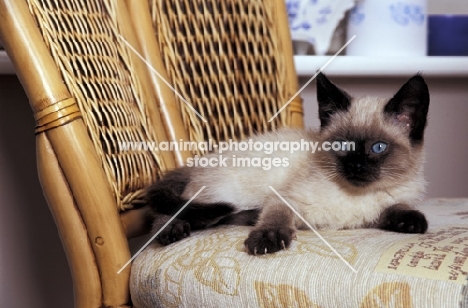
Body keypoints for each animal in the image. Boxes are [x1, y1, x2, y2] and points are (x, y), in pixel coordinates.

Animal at [144, 73, 430, 255]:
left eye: (378, 147)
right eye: (340, 146)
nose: (355, 167)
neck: (355, 195)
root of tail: (199, 162)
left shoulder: (373, 213)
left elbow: (394, 209)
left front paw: (412, 222)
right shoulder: (285, 198)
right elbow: (276, 217)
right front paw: (267, 240)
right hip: (228, 192)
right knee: (177, 209)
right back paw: (172, 231)